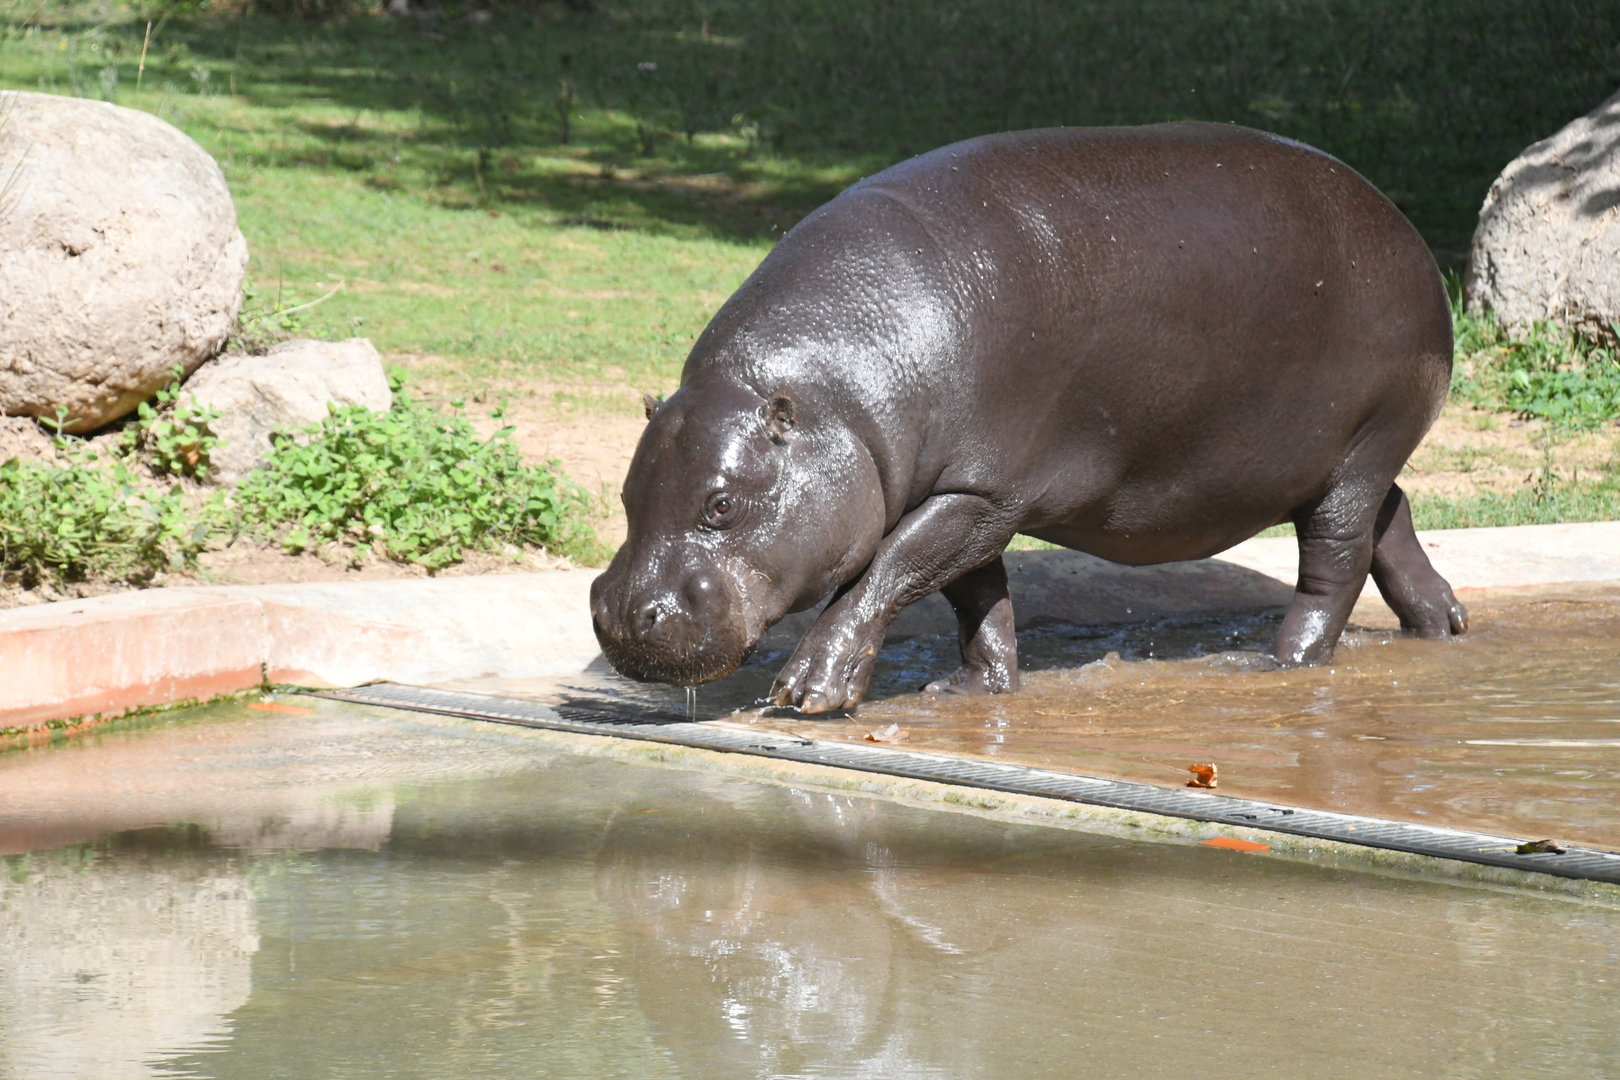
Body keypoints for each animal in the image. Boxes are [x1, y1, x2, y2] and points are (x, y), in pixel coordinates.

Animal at [591, 122, 1467, 713]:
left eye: (720, 505)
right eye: (627, 496)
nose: (626, 613)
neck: (833, 403)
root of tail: (1402, 226)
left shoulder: (980, 490)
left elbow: (886, 573)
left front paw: (808, 693)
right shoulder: (962, 495)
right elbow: (972, 593)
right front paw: (974, 688)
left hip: (1361, 446)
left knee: (1336, 559)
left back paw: (1283, 663)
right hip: (1338, 460)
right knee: (1393, 515)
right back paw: (1444, 626)